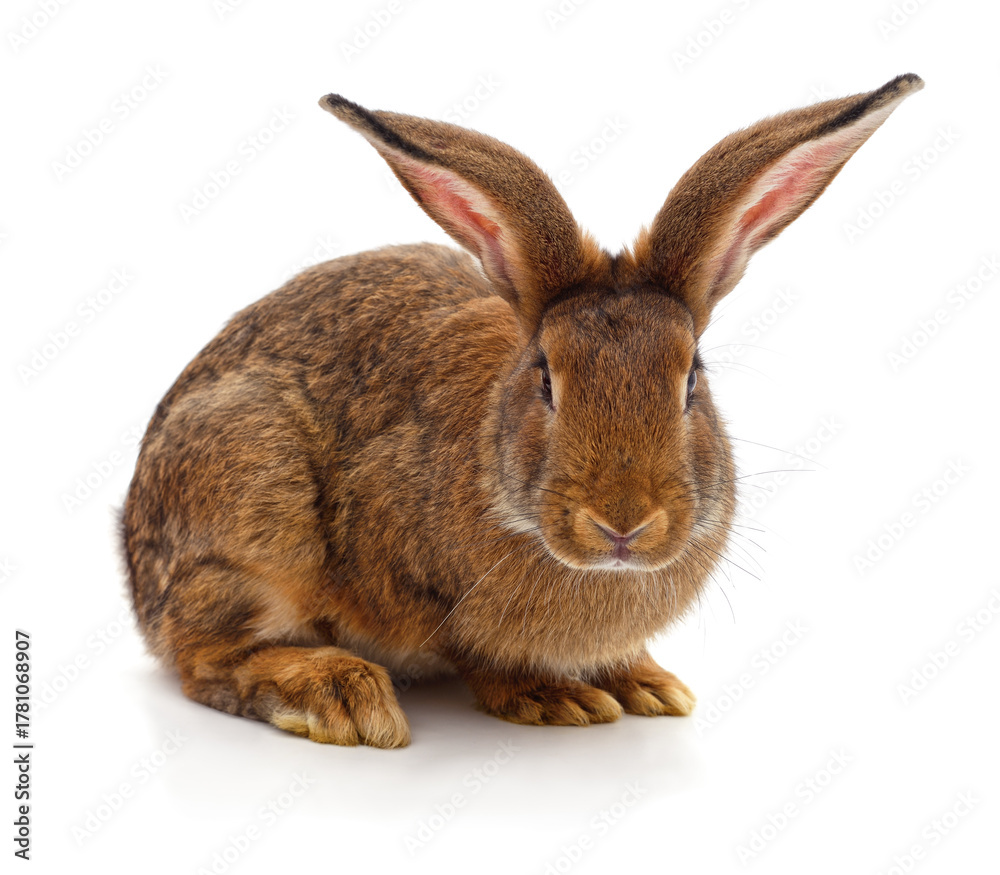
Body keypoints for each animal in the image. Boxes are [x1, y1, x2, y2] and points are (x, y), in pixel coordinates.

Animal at [122, 74, 923, 747]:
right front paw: (554, 696)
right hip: (252, 501)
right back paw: (339, 696)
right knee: (205, 656)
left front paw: (644, 683)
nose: (623, 523)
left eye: (691, 380)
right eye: (546, 380)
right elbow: (477, 652)